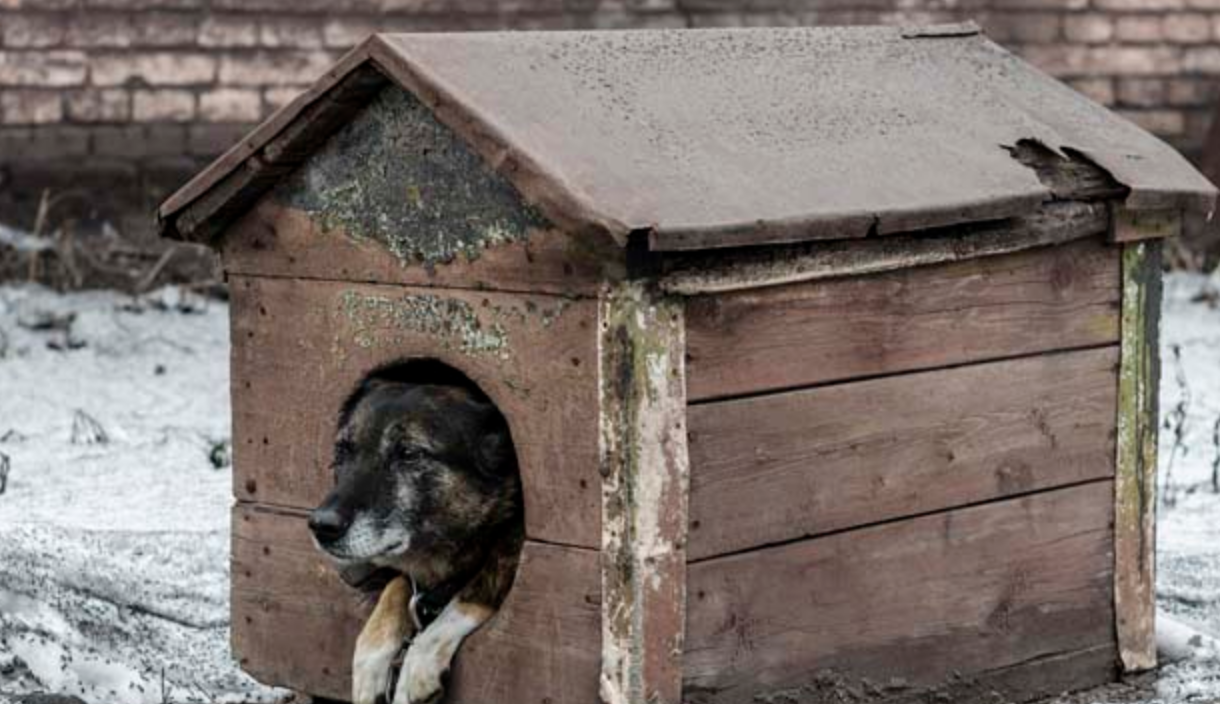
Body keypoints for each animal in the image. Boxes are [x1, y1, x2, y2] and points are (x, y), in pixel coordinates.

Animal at [307, 368, 522, 702]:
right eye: (343, 449)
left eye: (408, 453)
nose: (321, 525)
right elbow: (396, 586)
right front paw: (369, 662)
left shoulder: (512, 549)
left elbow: (480, 584)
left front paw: (418, 661)